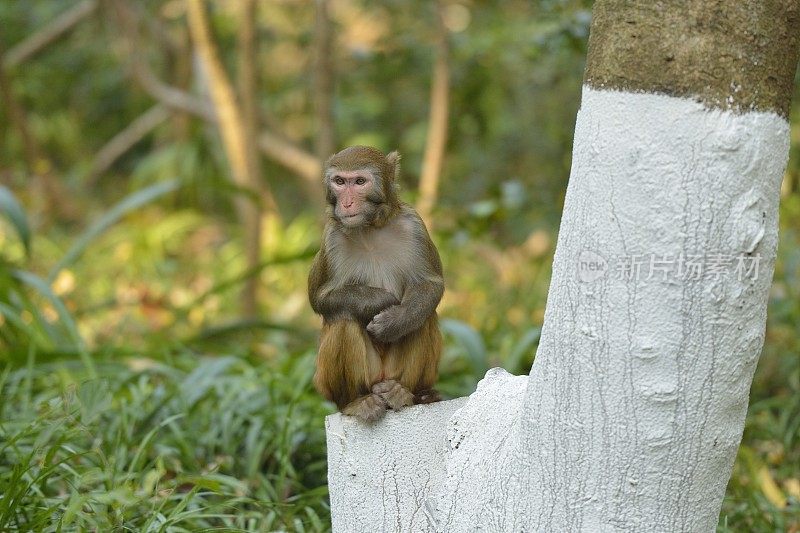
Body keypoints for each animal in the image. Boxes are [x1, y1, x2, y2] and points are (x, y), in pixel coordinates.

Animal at [308, 143, 444, 422]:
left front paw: (395, 320)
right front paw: (379, 301)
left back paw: (404, 392)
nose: (347, 203)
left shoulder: (415, 226)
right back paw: (356, 402)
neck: (369, 228)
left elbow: (429, 285)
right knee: (343, 320)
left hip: (394, 371)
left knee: (424, 316)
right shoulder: (331, 239)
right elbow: (321, 298)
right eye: (340, 182)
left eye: (360, 182)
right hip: (345, 382)